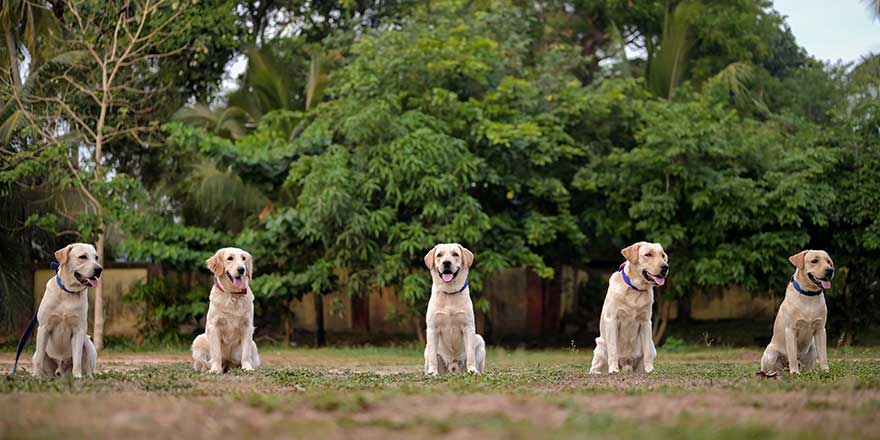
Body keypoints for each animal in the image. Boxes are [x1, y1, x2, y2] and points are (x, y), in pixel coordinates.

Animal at [422, 244, 484, 374]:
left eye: (455, 254)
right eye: (439, 255)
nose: (446, 262)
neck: (449, 292)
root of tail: (453, 367)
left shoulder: (468, 327)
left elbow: (470, 354)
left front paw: (472, 370)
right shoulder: (432, 328)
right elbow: (433, 357)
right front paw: (432, 372)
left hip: (480, 340)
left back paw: (476, 371)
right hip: (426, 349)